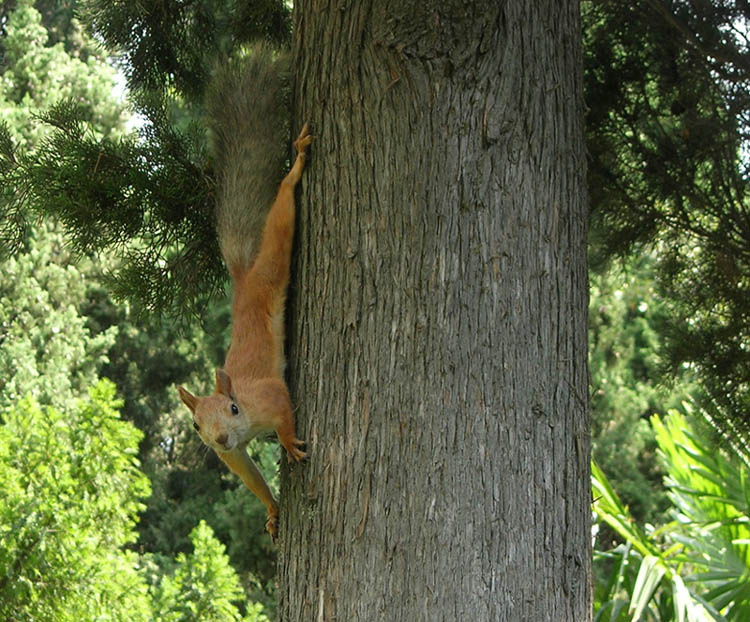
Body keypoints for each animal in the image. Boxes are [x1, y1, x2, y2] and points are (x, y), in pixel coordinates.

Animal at [178, 45, 310, 539]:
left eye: (233, 408)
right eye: (196, 425)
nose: (219, 438)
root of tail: (242, 278)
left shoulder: (270, 397)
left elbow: (286, 415)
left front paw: (290, 444)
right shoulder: (233, 457)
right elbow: (251, 477)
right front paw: (271, 509)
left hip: (271, 267)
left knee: (282, 219)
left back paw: (295, 170)